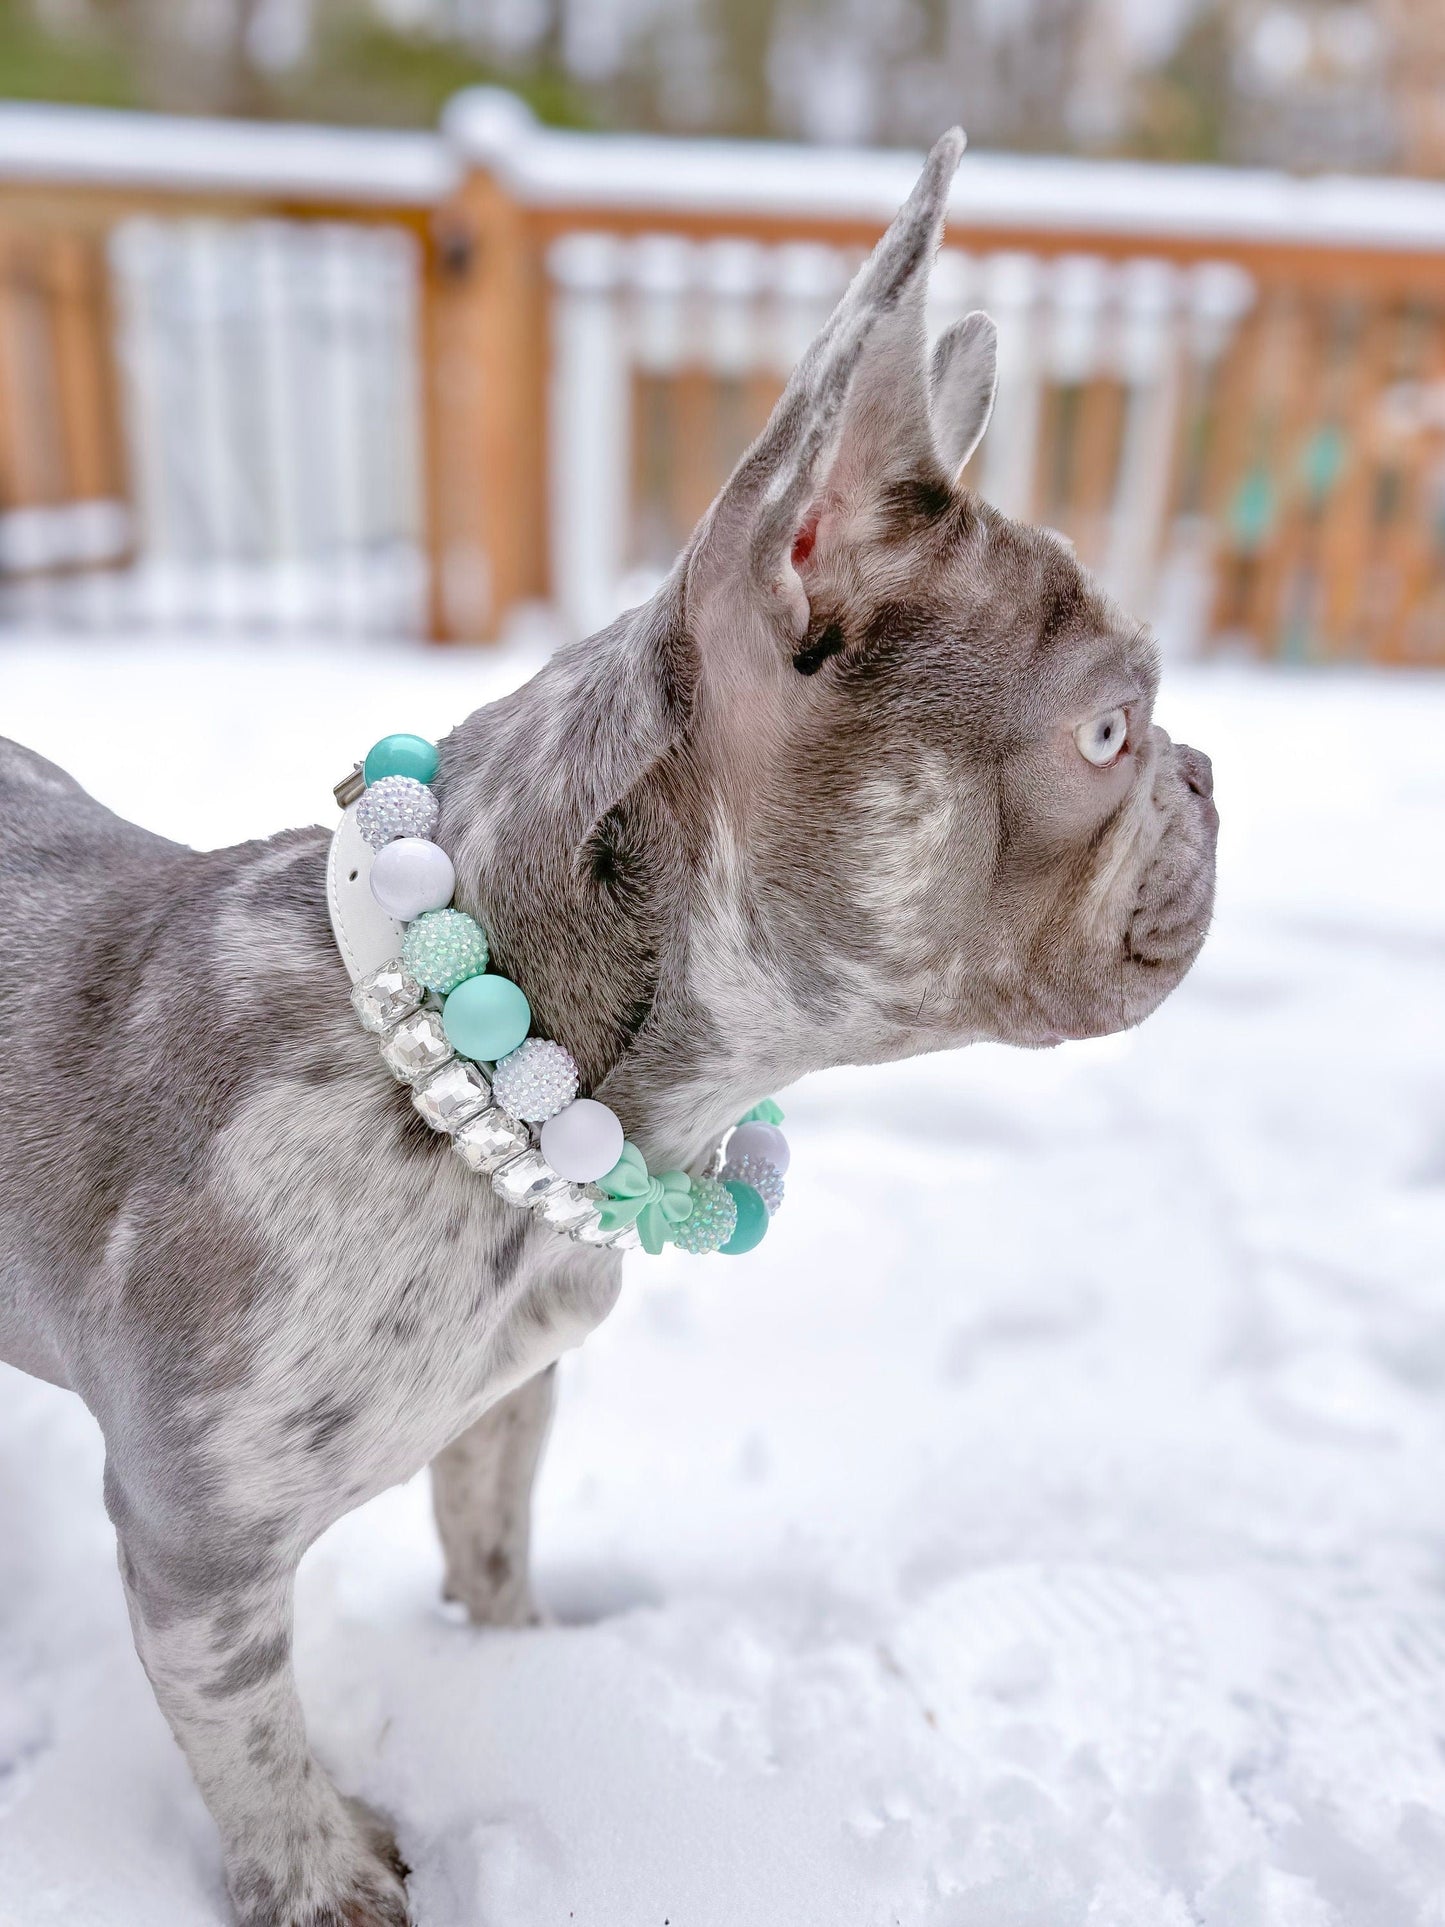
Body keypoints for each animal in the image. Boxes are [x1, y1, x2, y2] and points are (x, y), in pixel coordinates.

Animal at [0, 142, 1225, 1927]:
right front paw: (321, 1873)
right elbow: (251, 1731)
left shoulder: (505, 1404)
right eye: (1111, 730)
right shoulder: (197, 1551)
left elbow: (490, 1538)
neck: (469, 1083)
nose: (1203, 769)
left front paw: (527, 1665)